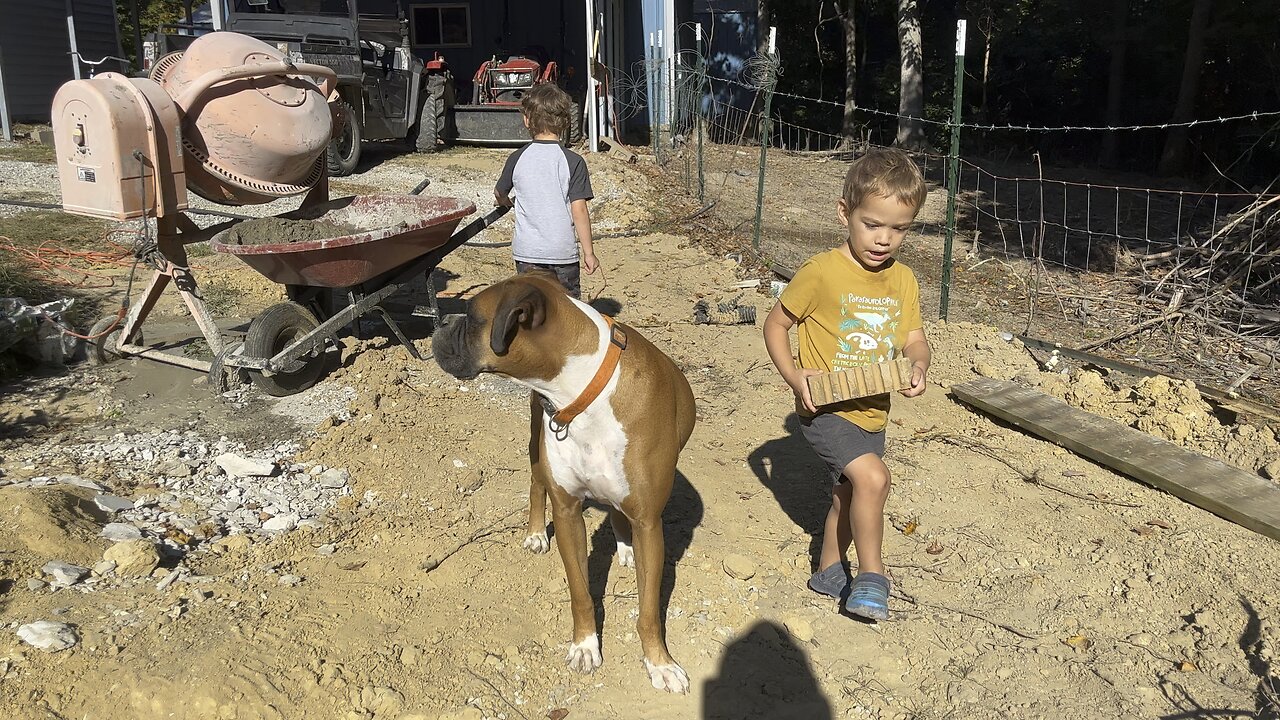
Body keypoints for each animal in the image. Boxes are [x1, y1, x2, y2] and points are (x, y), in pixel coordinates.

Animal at [437, 269, 701, 691]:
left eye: (472, 317)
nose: (442, 321)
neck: (585, 391)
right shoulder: (567, 512)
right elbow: (579, 590)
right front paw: (585, 645)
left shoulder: (649, 523)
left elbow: (647, 608)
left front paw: (659, 662)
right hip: (536, 444)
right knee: (536, 484)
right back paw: (534, 534)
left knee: (616, 511)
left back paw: (625, 546)